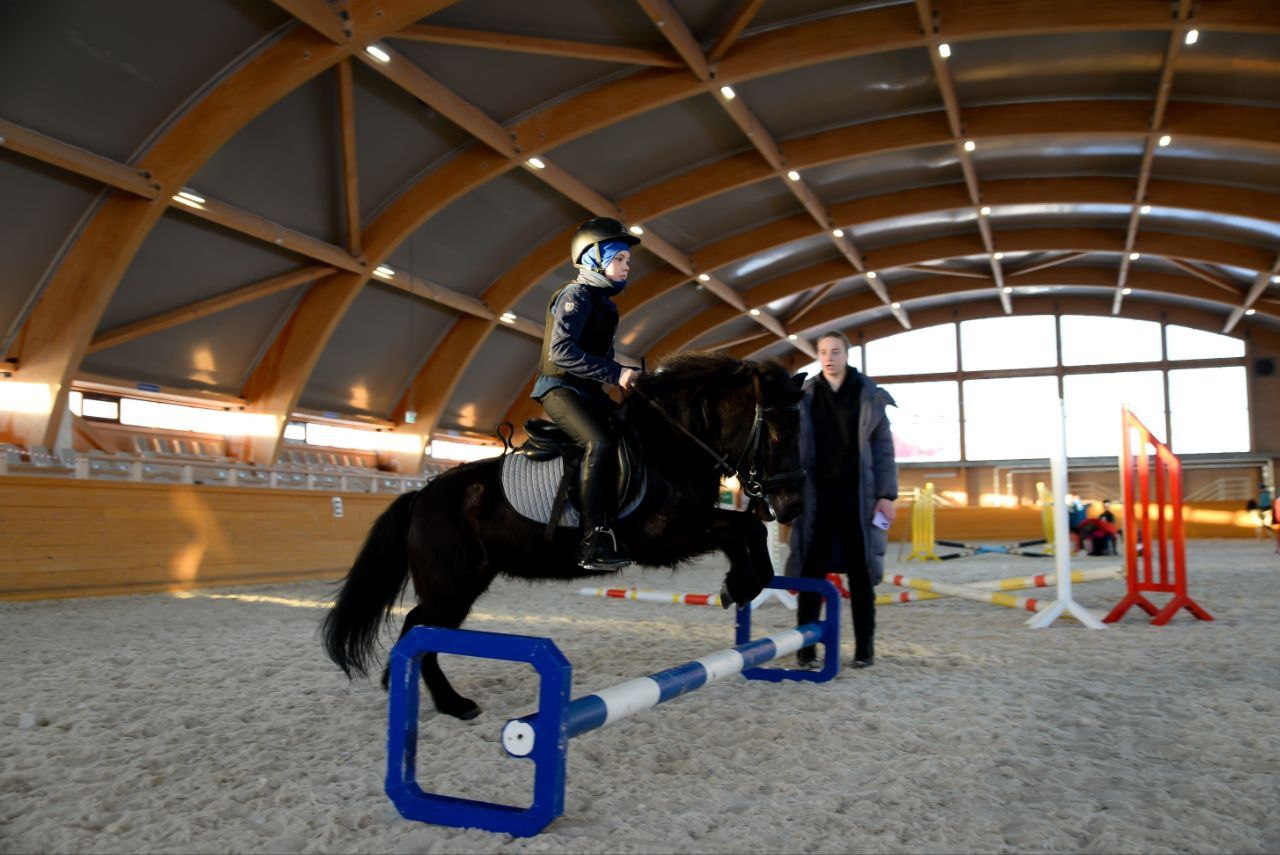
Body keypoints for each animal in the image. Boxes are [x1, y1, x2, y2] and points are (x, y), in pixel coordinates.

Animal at [322, 350, 798, 716]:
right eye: (777, 434)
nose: (791, 505)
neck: (670, 445)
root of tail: (421, 495)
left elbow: (749, 529)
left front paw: (747, 583)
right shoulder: (663, 539)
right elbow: (740, 528)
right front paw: (738, 586)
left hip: (459, 586)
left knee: (418, 633)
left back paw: (404, 685)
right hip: (452, 587)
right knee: (419, 628)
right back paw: (454, 704)